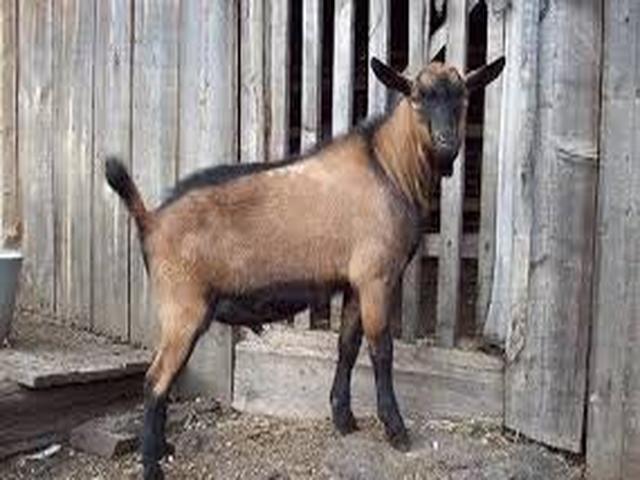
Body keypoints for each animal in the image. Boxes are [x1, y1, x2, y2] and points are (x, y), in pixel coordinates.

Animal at [105, 55, 504, 480]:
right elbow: (382, 351)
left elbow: (347, 346)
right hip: (182, 307)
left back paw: (164, 448)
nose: (447, 143)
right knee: (154, 380)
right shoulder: (377, 277)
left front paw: (344, 419)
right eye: (417, 97)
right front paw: (396, 430)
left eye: (463, 97)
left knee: (163, 378)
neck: (388, 168)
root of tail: (151, 220)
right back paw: (151, 464)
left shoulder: (355, 284)